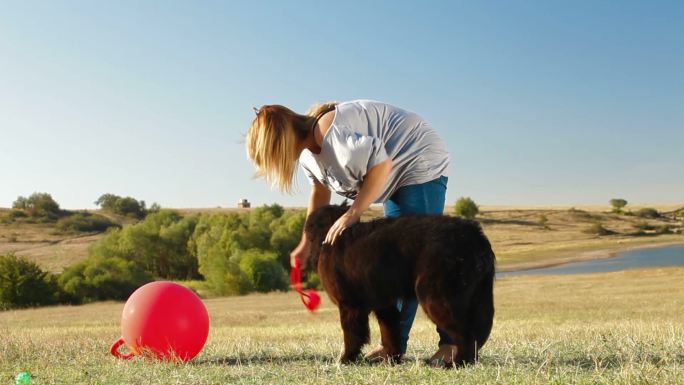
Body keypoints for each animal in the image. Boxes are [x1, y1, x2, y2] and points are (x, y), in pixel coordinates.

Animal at [302, 202, 494, 364]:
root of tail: (475, 236)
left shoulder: (349, 304)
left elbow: (352, 335)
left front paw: (346, 359)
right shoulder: (383, 303)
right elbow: (390, 331)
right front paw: (392, 359)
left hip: (438, 297)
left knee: (467, 334)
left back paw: (457, 362)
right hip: (476, 297)